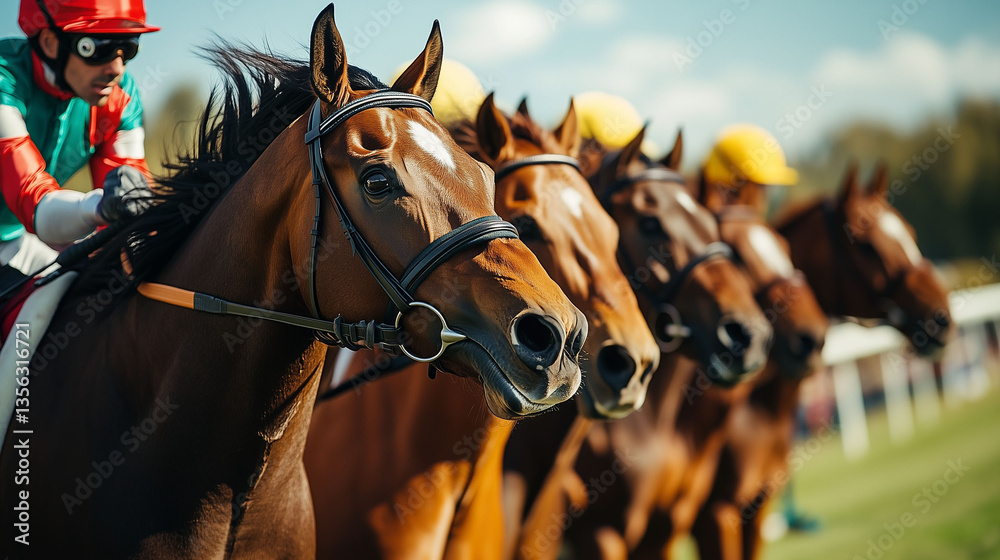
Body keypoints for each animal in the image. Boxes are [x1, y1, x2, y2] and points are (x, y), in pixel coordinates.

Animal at [690, 162, 955, 560]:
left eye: (910, 233)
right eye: (866, 245)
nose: (941, 318)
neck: (757, 407)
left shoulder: (758, 500)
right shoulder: (715, 513)